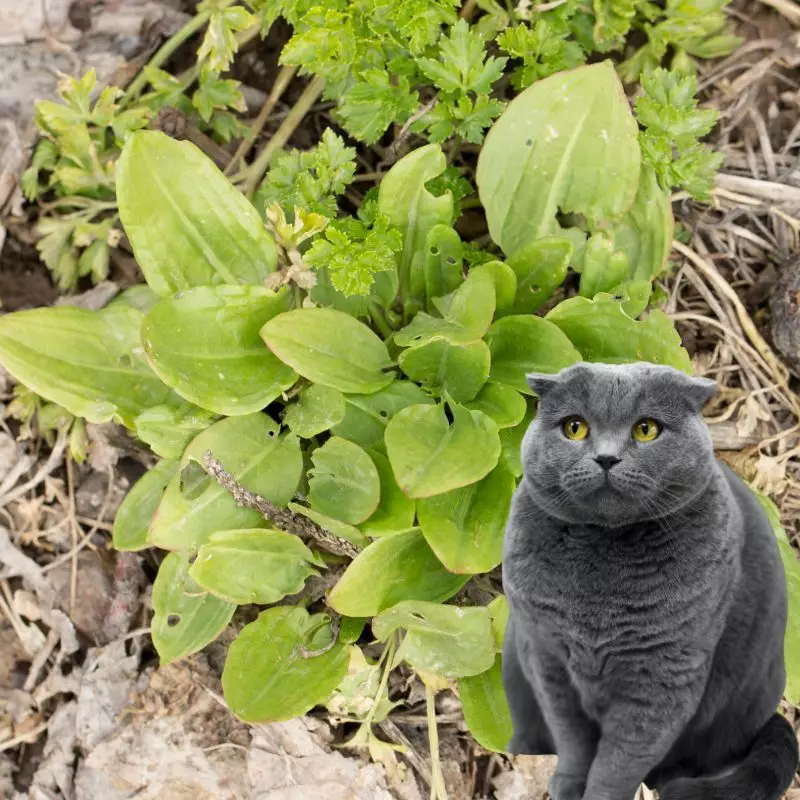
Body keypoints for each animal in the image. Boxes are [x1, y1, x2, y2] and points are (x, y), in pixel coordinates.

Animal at [504, 362, 796, 800]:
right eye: (575, 427)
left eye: (646, 429)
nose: (606, 457)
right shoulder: (547, 657)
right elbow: (572, 739)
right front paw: (568, 785)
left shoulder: (662, 678)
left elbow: (619, 763)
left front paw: (596, 795)